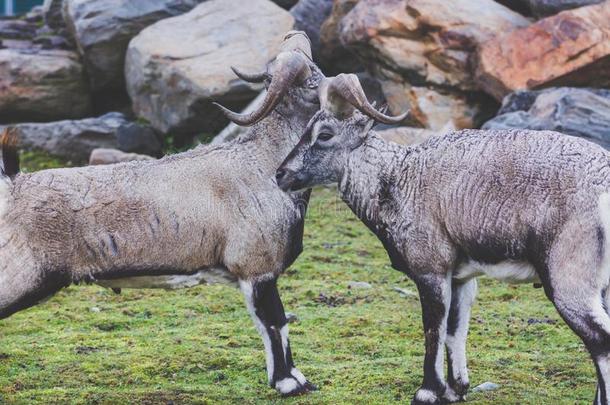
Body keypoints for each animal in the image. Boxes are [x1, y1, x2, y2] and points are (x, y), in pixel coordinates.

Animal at [0, 30, 324, 394]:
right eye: (311, 82)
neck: (262, 165)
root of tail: (11, 185)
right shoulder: (256, 270)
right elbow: (274, 323)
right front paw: (289, 383)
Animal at [278, 73, 608, 404]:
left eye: (325, 134)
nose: (281, 174)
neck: (399, 179)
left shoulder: (431, 270)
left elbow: (433, 328)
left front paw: (427, 391)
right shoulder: (461, 277)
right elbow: (454, 330)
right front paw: (455, 389)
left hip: (568, 281)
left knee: (601, 341)